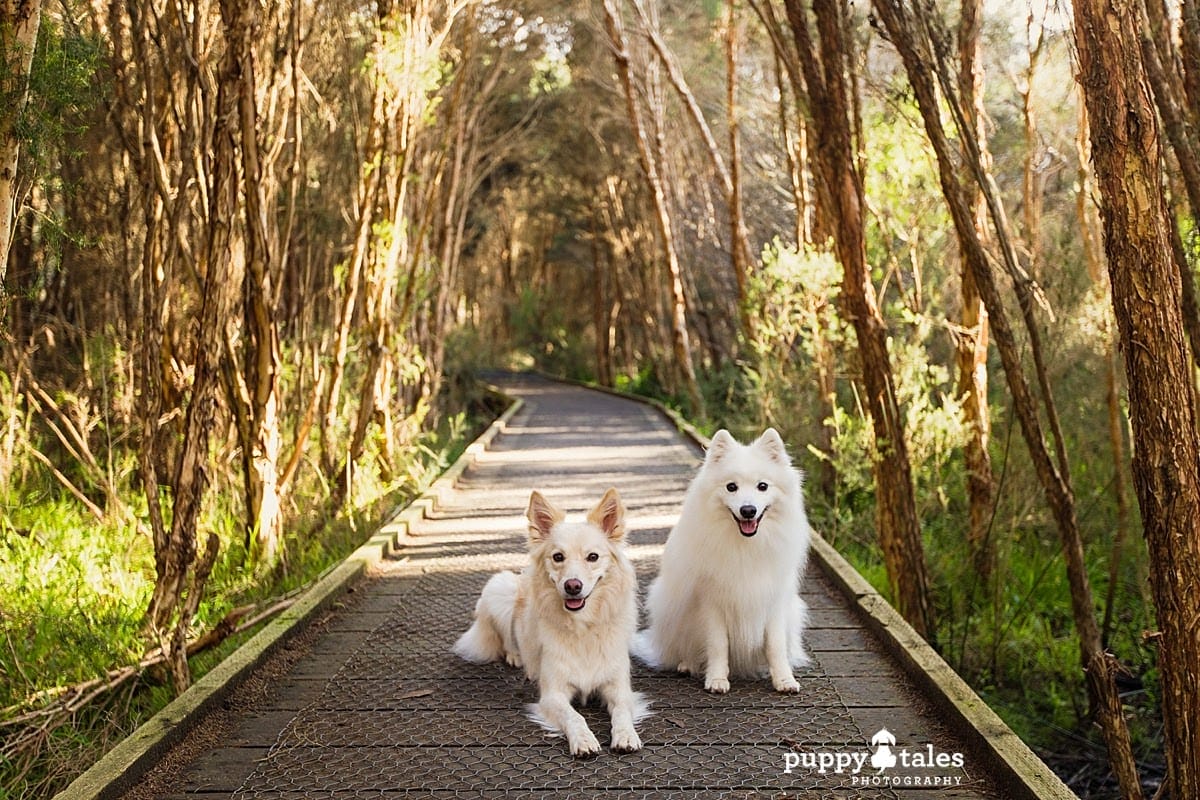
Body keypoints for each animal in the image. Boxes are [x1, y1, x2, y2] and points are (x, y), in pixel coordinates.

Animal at [453, 489, 648, 758]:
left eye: (593, 557)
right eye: (558, 557)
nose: (573, 586)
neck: (583, 626)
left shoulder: (619, 687)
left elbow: (620, 711)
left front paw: (626, 735)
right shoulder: (553, 694)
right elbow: (574, 716)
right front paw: (583, 740)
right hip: (500, 588)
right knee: (507, 638)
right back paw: (516, 657)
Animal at [633, 431, 811, 695]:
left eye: (762, 486)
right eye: (731, 487)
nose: (748, 510)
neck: (746, 546)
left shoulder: (773, 601)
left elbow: (775, 646)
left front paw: (784, 680)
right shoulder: (712, 602)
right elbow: (718, 645)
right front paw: (716, 679)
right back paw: (686, 664)